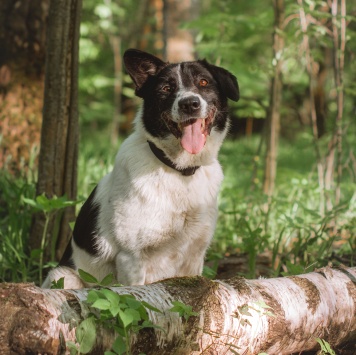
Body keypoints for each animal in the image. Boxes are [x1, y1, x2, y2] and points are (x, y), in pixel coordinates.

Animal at [42, 49, 239, 290]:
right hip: (62, 276)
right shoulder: (131, 257)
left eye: (203, 82)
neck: (178, 170)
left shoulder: (194, 257)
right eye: (166, 88)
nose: (189, 104)